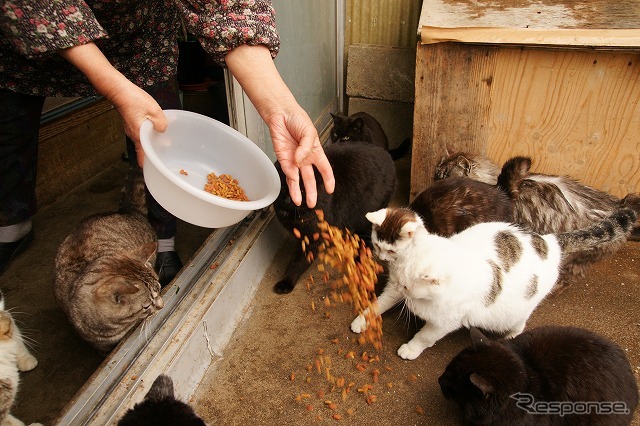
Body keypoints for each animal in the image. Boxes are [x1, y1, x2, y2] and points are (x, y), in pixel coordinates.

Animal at [352, 206, 636, 360]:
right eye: (376, 244)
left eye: (409, 287)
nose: (379, 257)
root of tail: (548, 241)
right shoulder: (392, 288)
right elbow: (378, 304)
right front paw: (362, 321)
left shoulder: (445, 322)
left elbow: (425, 336)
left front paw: (411, 348)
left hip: (518, 311)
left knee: (519, 323)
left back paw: (509, 336)